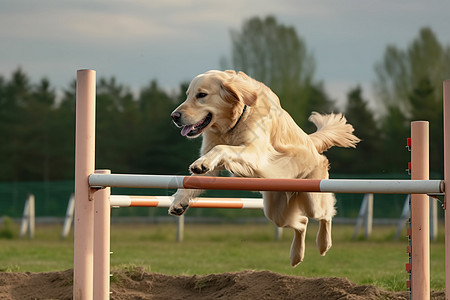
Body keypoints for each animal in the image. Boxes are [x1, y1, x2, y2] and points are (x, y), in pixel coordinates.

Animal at [169, 69, 358, 264]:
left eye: (201, 95)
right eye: (187, 95)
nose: (174, 116)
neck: (235, 120)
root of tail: (312, 143)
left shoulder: (255, 152)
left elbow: (222, 148)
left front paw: (200, 163)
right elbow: (193, 180)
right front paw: (179, 200)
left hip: (313, 197)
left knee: (326, 213)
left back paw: (323, 243)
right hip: (276, 210)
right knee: (302, 223)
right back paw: (296, 255)